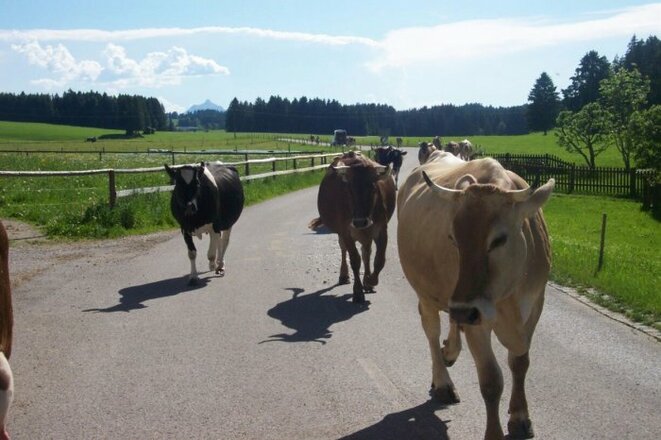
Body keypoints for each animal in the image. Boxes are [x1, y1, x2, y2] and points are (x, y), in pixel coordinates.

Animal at [315, 151, 396, 303]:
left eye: (373, 188)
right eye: (349, 190)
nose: (359, 222)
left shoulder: (382, 230)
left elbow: (379, 260)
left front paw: (370, 281)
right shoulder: (346, 232)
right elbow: (354, 260)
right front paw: (358, 291)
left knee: (366, 253)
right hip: (342, 233)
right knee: (344, 249)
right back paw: (344, 275)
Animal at [397, 157, 554, 440]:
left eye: (499, 240)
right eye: (452, 238)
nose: (463, 310)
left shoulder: (534, 306)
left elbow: (520, 363)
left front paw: (520, 417)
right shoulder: (475, 318)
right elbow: (491, 381)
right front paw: (494, 432)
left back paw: (450, 350)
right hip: (428, 294)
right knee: (432, 330)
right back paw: (443, 382)